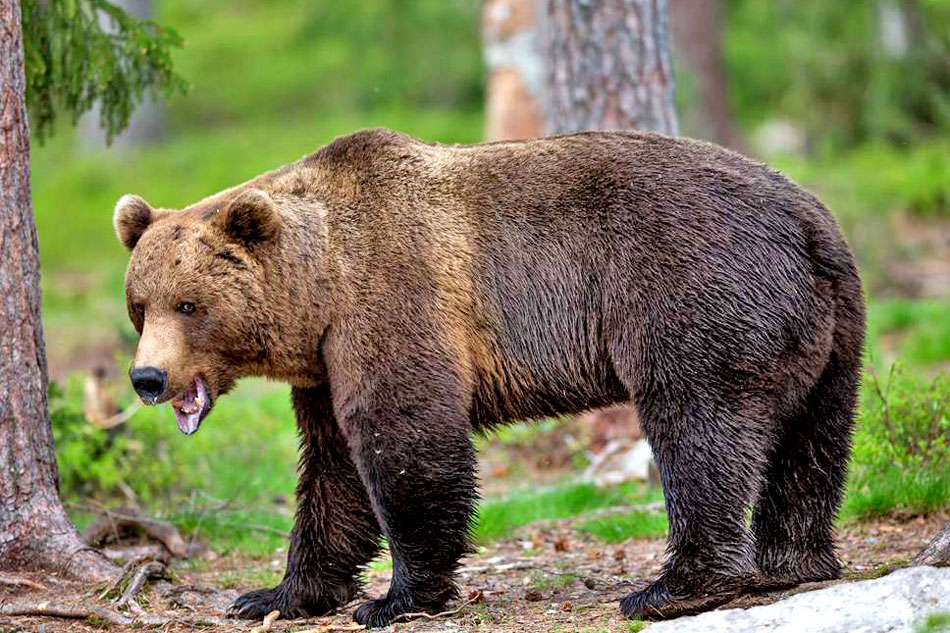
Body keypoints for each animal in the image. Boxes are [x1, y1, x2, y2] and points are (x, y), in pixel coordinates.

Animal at [115, 126, 868, 624]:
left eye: (189, 304)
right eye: (140, 303)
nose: (147, 378)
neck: (320, 287)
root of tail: (809, 220)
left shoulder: (393, 300)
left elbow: (404, 439)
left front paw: (396, 597)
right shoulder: (325, 366)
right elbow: (332, 469)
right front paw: (274, 594)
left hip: (694, 291)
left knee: (698, 426)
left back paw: (674, 585)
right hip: (830, 330)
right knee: (812, 439)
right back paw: (794, 560)